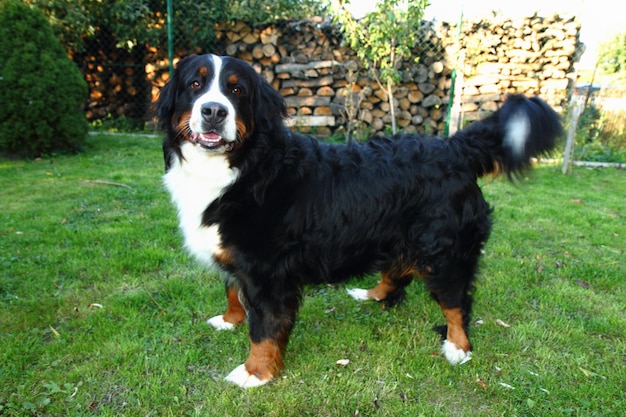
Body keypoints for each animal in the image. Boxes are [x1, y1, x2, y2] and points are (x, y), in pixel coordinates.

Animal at [155, 53, 560, 388]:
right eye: (195, 85)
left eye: (237, 90)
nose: (214, 111)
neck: (243, 167)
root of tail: (454, 146)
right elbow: (231, 289)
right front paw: (229, 319)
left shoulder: (268, 271)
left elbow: (265, 328)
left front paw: (255, 372)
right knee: (397, 272)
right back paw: (371, 294)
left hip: (442, 249)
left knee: (456, 299)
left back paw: (457, 346)